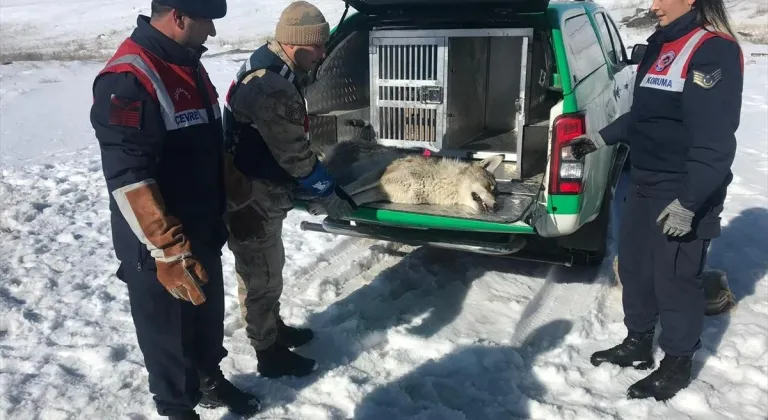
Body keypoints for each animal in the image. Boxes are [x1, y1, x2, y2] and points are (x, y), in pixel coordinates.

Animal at [308, 140, 508, 213]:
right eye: (489, 186)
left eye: (496, 193)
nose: (497, 206)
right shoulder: (376, 177)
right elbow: (345, 191)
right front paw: (322, 205)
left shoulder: (378, 192)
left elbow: (353, 199)